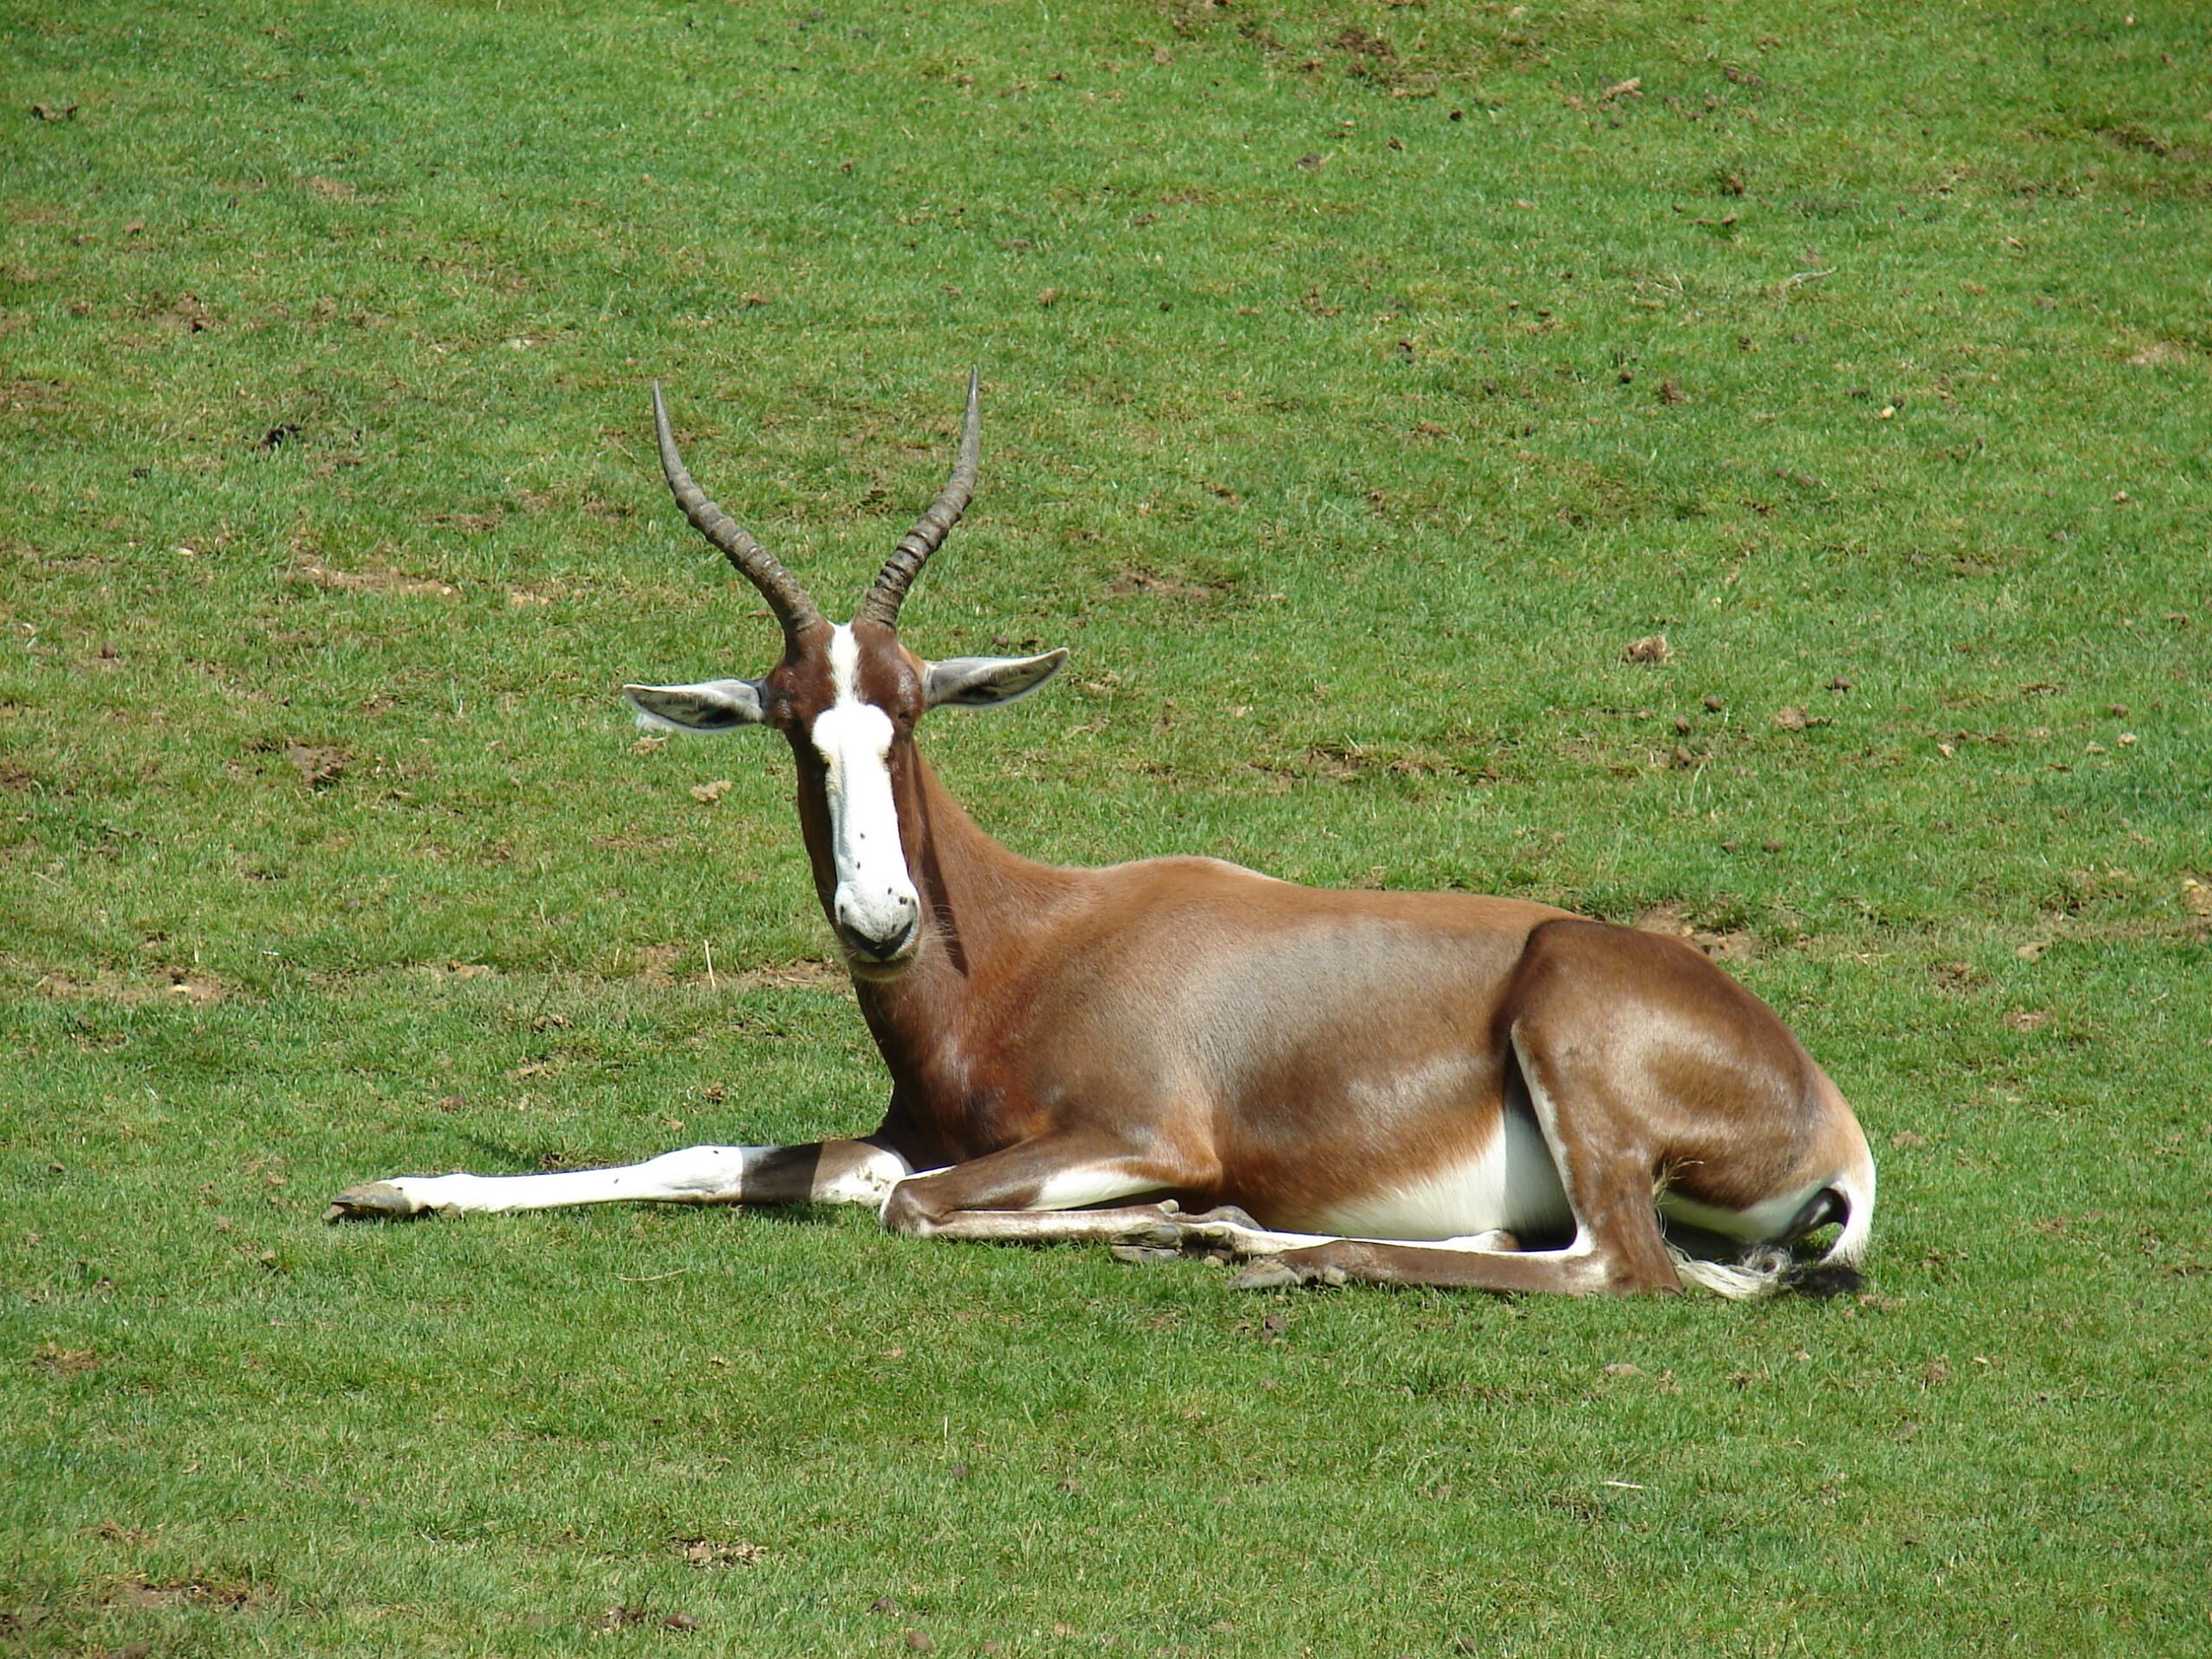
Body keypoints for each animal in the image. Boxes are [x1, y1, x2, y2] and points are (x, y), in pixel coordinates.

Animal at [327, 376, 1875, 1300]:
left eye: (910, 713)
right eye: (791, 725)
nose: (880, 921)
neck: (1026, 947)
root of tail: (1827, 1113)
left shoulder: (1134, 1132)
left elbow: (913, 1208)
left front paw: (1171, 1221)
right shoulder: (909, 1133)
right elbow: (721, 1158)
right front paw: (393, 1187)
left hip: (1570, 1060)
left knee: (1620, 1270)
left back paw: (1260, 1249)